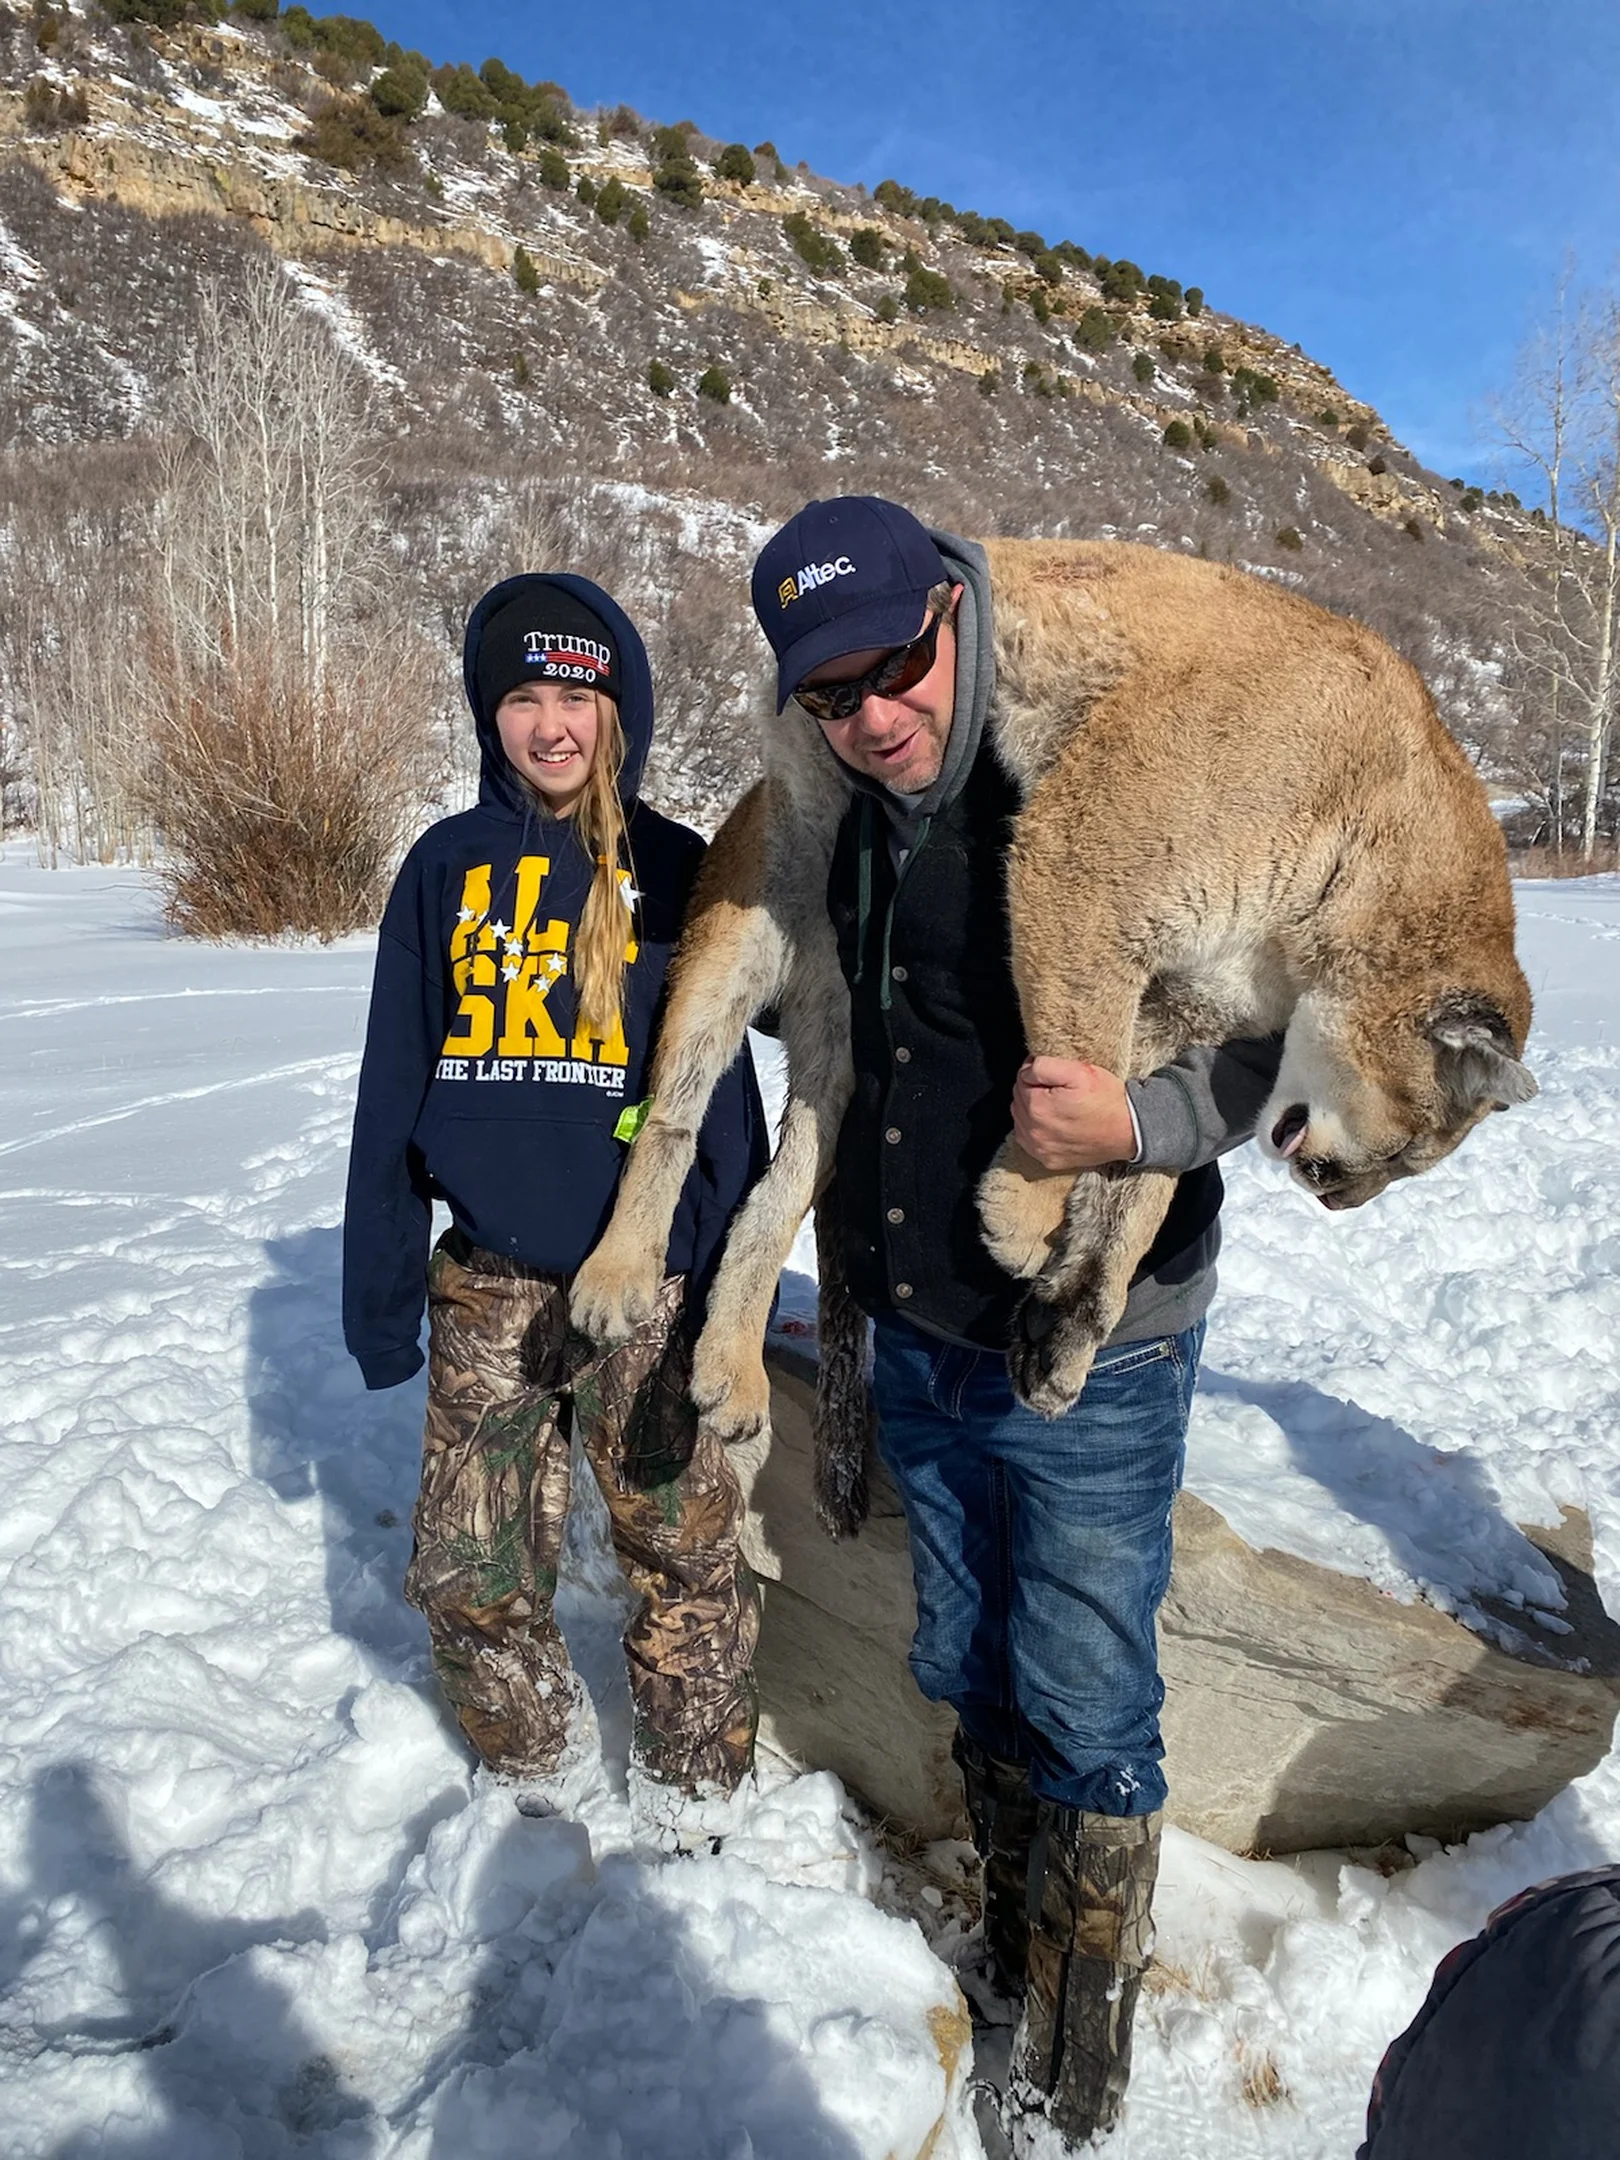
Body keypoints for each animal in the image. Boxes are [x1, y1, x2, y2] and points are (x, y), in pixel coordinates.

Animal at [571, 539, 1536, 1531]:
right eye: (1410, 1150)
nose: (1341, 1199)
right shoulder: (1089, 862)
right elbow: (1076, 1053)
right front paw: (1026, 1214)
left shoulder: (1181, 1006)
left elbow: (1135, 1168)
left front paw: (1066, 1323)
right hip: (752, 918)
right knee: (669, 1116)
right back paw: (616, 1280)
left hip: (839, 1031)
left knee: (776, 1193)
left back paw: (731, 1373)